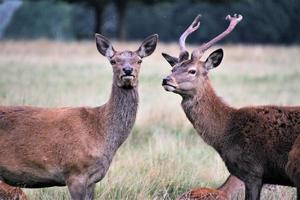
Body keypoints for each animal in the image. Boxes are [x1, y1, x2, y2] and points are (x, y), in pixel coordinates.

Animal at [0, 33, 158, 199]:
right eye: (113, 61)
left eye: (139, 60)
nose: (127, 70)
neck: (100, 132)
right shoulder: (75, 172)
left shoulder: (92, 179)